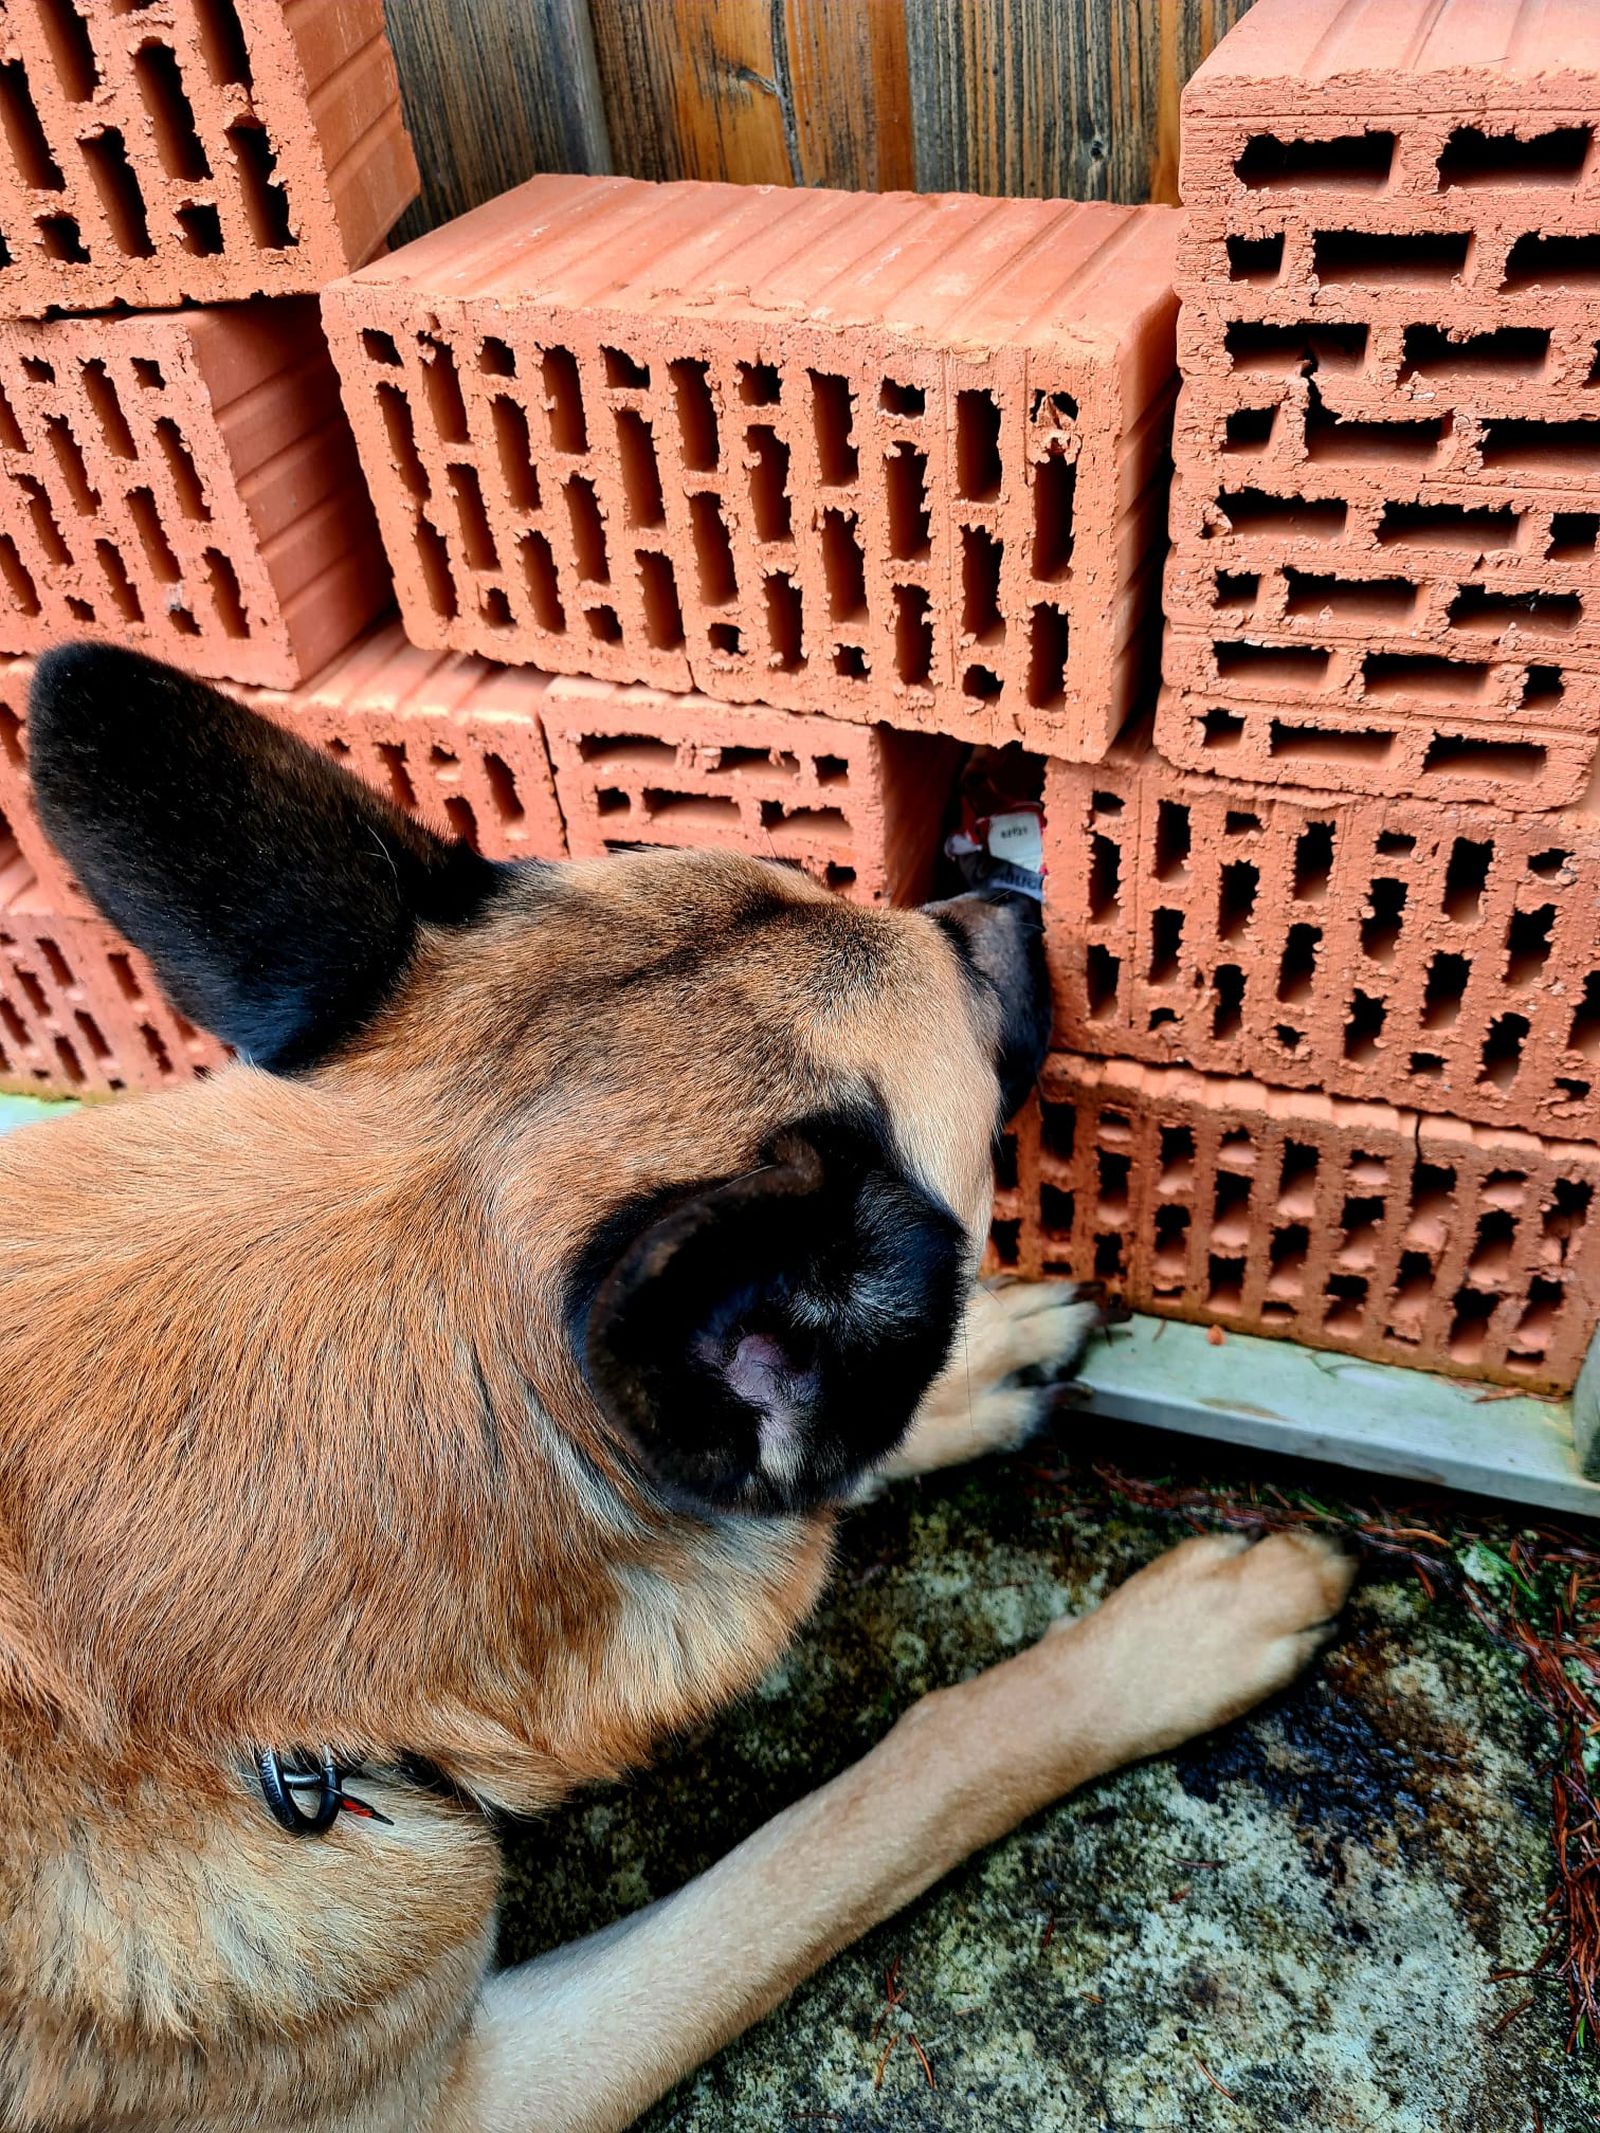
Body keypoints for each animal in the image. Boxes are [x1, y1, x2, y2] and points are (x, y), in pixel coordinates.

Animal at [0, 644, 1356, 2133]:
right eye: (958, 966)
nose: (1009, 890)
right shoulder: (490, 2088)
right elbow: (874, 1804)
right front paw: (1169, 1647)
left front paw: (980, 1363)